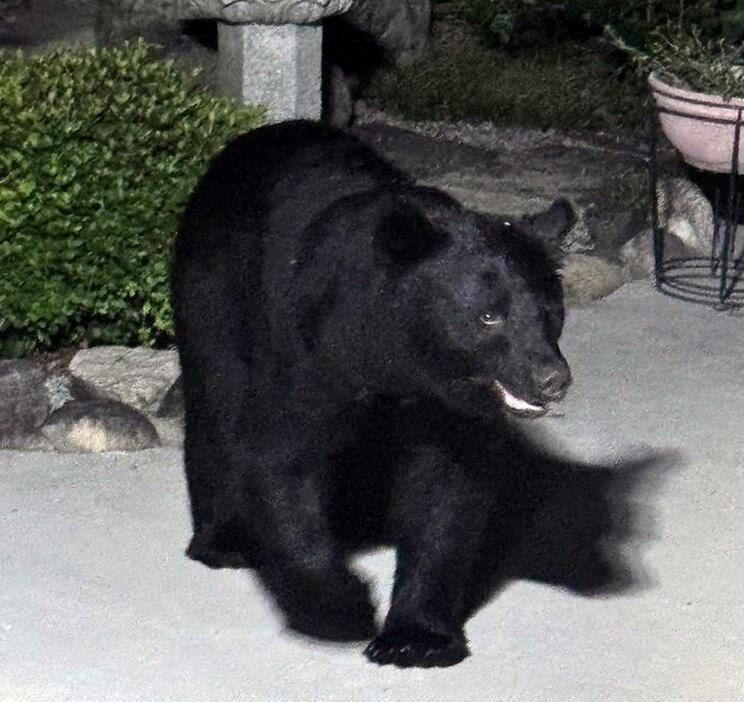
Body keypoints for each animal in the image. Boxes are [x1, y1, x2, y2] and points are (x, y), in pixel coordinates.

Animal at [171, 121, 572, 672]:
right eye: (490, 315)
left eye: (552, 312)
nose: (553, 377)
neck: (398, 366)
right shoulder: (311, 355)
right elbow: (277, 458)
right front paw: (344, 607)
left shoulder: (446, 410)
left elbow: (447, 493)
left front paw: (417, 638)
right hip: (213, 293)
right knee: (217, 402)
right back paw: (225, 538)